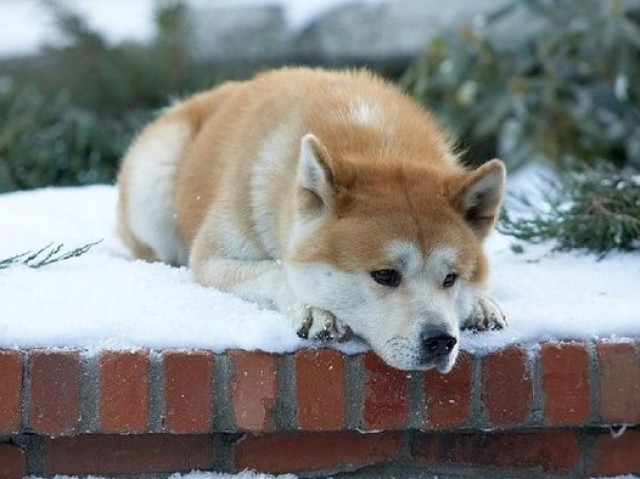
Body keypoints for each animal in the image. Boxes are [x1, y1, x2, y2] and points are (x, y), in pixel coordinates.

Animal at [115, 67, 504, 374]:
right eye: (385, 275)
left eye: (451, 278)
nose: (441, 341)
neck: (377, 143)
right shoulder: (212, 259)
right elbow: (276, 271)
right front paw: (315, 310)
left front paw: (481, 304)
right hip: (154, 183)